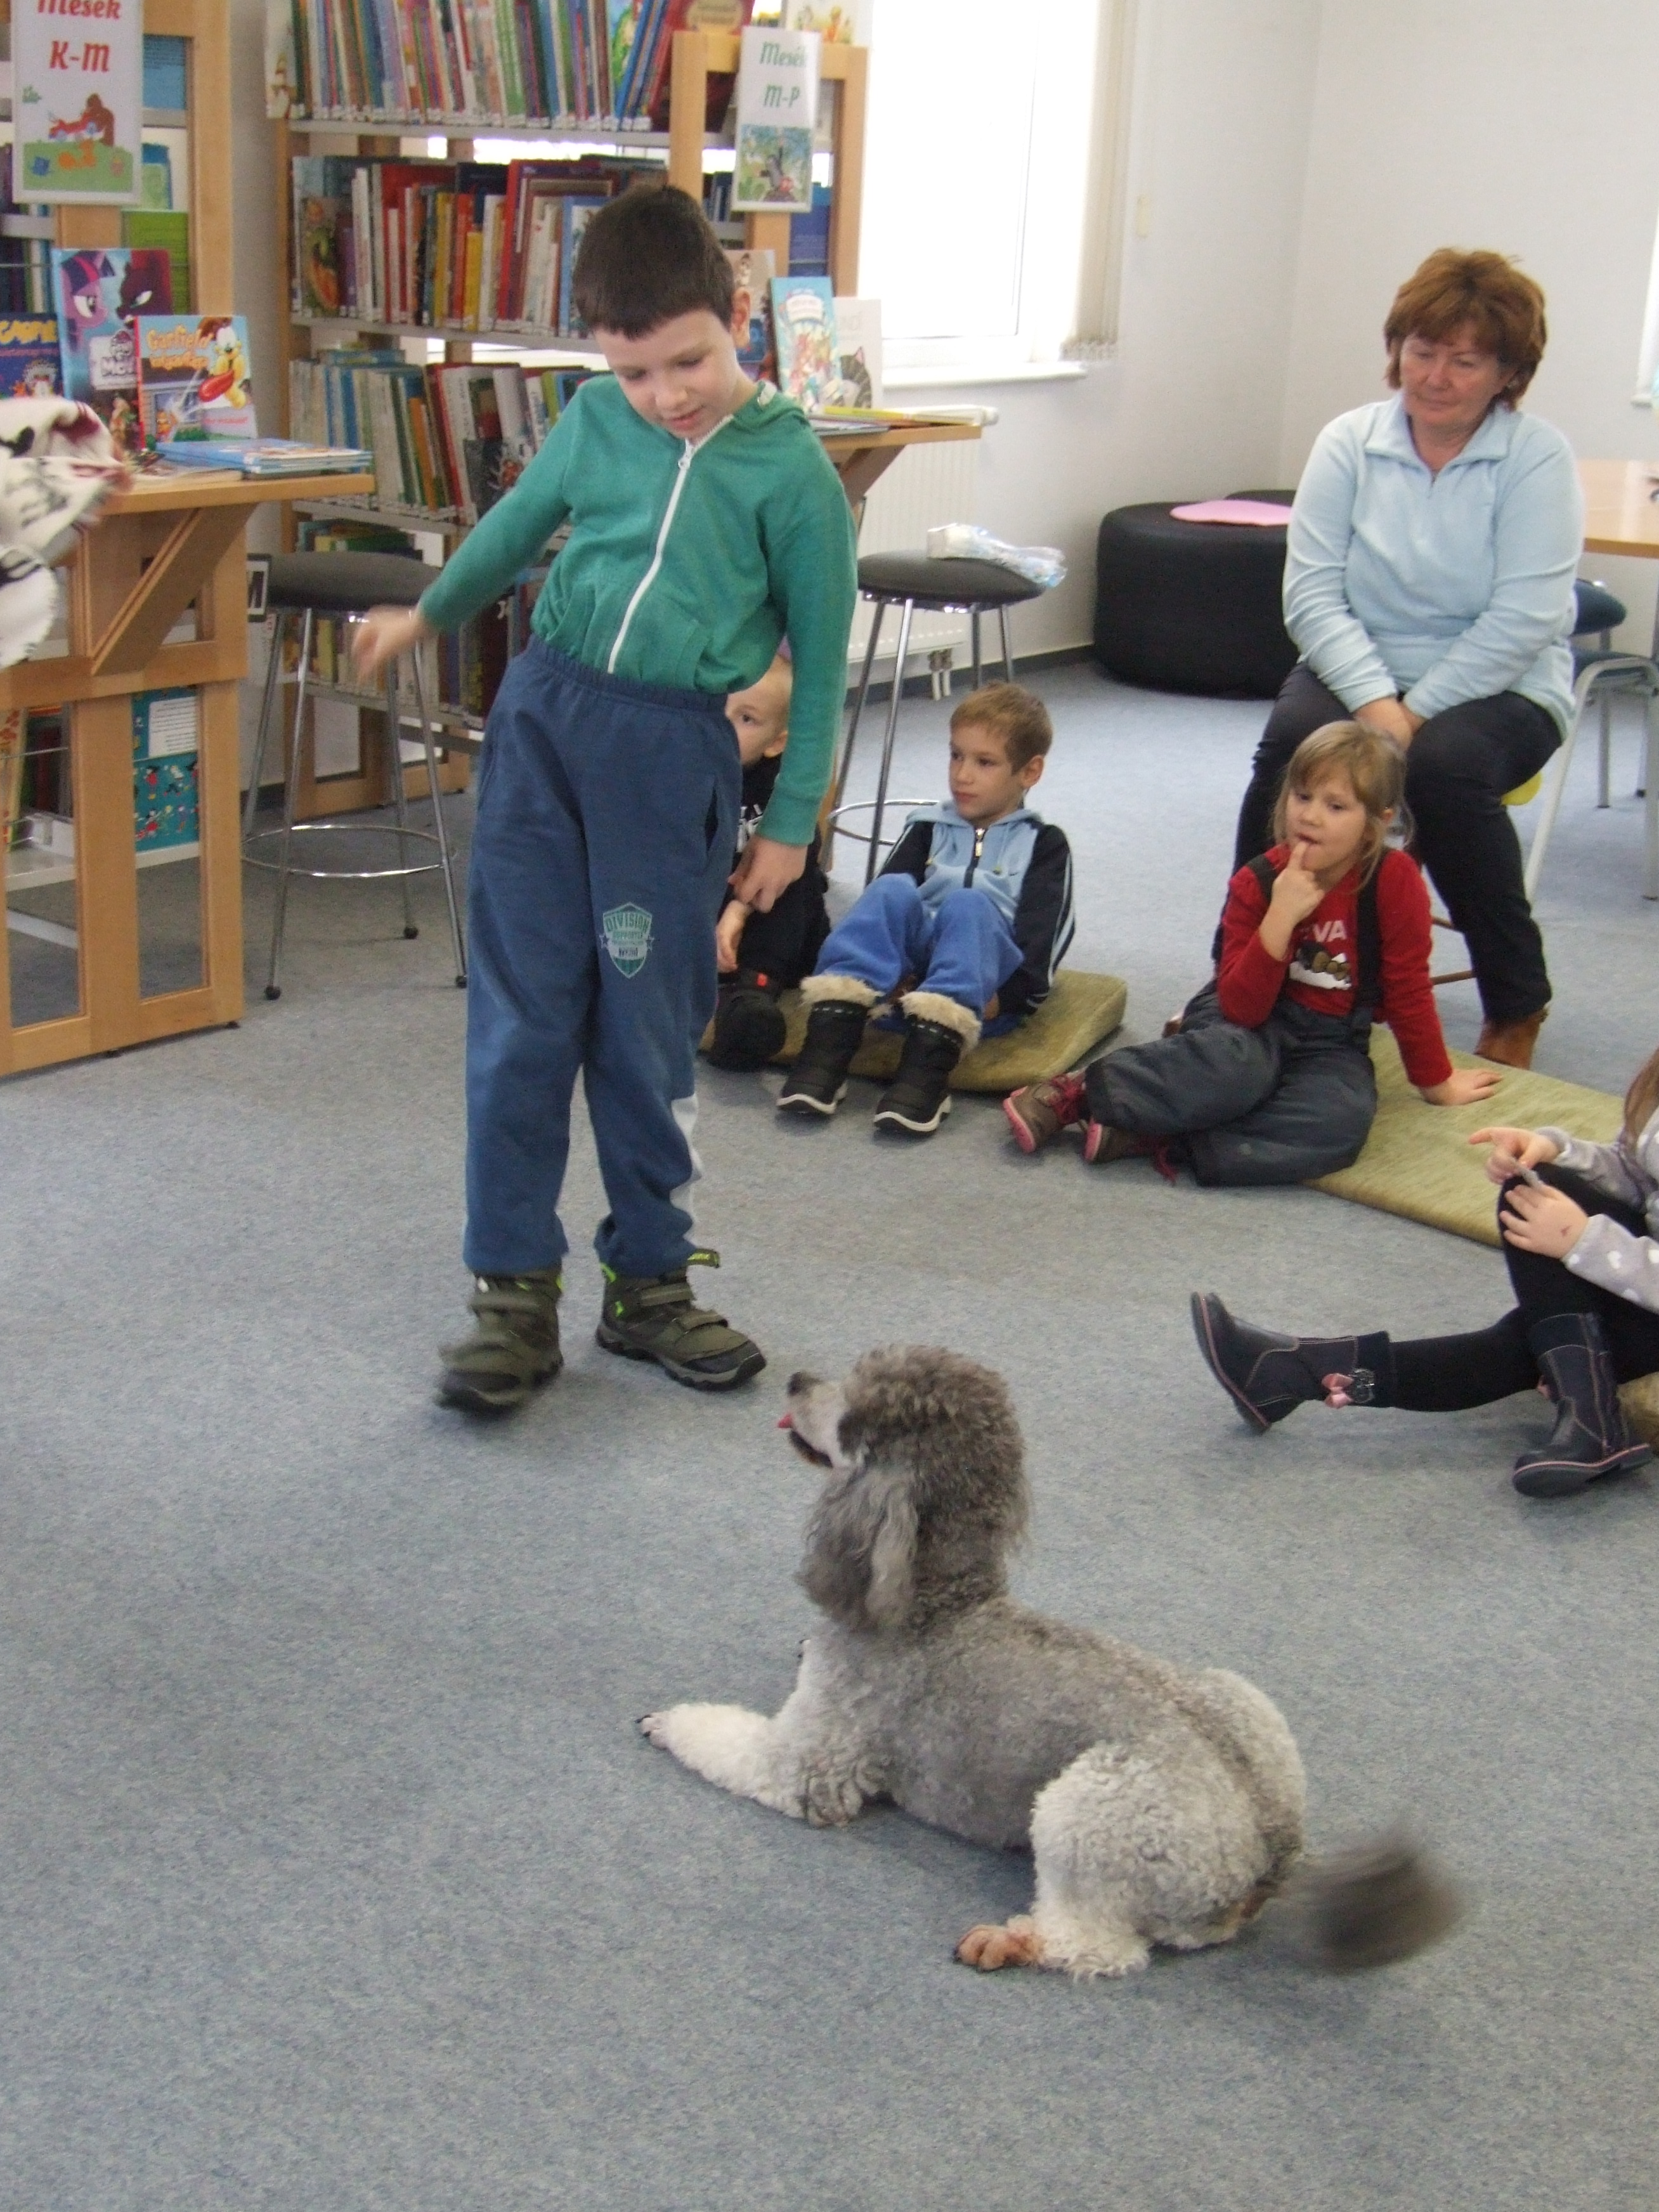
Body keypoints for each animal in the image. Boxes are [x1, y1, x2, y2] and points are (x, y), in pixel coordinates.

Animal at [641, 1346, 1459, 1978]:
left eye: (852, 1412)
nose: (797, 1379)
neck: (941, 1599)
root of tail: (1276, 1848)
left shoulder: (812, 1762)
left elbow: (730, 1742)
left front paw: (670, 1720)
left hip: (1090, 1804)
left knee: (1102, 1946)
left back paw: (1012, 1941)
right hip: (1243, 1698)